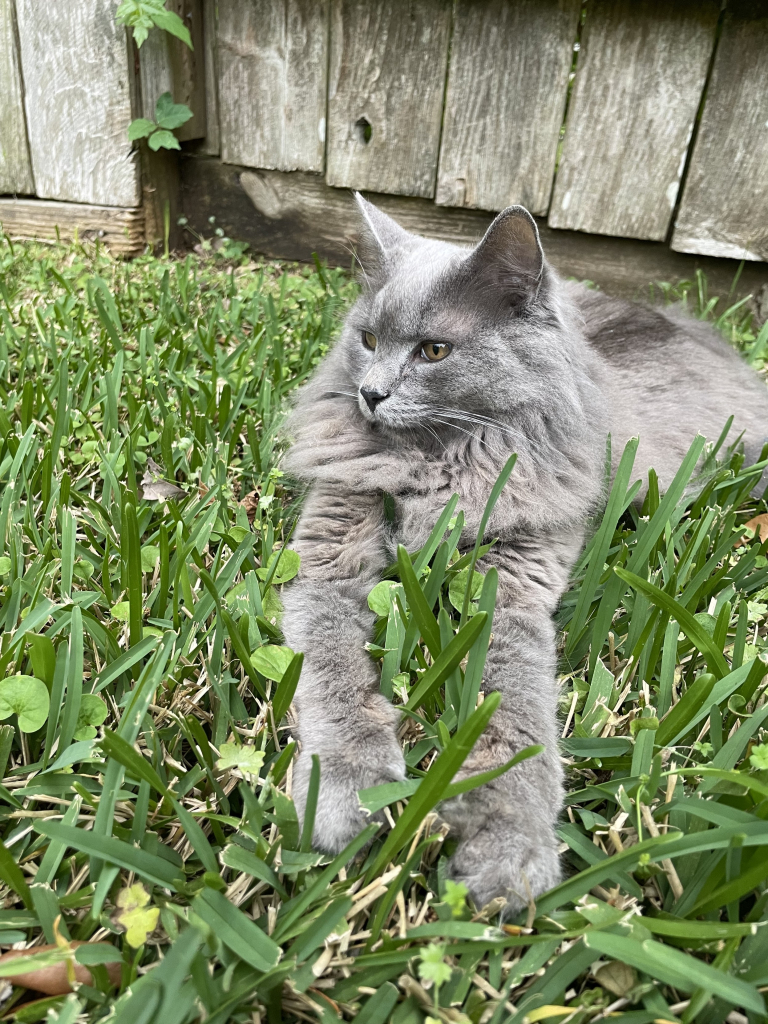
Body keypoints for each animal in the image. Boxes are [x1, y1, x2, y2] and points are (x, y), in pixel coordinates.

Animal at [280, 195, 768, 909]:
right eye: (367, 340)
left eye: (434, 350)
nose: (370, 394)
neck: (440, 463)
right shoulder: (329, 555)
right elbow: (334, 672)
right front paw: (350, 792)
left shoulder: (511, 586)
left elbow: (515, 711)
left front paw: (507, 850)